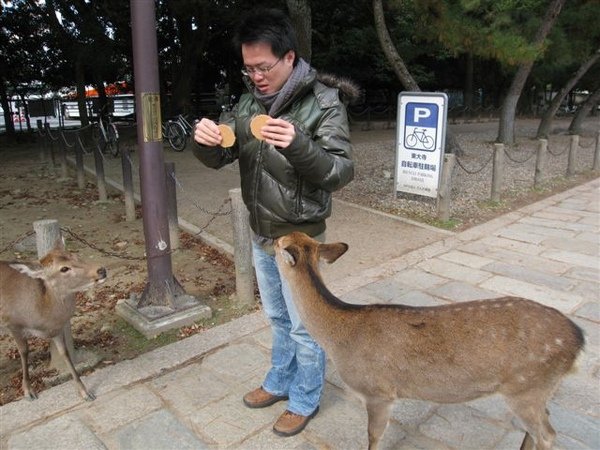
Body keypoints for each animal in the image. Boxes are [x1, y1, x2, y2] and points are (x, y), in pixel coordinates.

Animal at [0, 243, 106, 400]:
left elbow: (64, 352)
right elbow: (24, 352)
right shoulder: (13, 323)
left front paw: (85, 392)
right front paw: (28, 391)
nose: (101, 270)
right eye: (64, 268)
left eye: (76, 255)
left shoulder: (57, 329)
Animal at [276, 232, 584, 450]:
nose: (269, 240)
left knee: (547, 434)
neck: (339, 338)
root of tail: (578, 338)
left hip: (525, 387)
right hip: (537, 388)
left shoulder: (378, 391)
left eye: (279, 242)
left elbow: (374, 436)